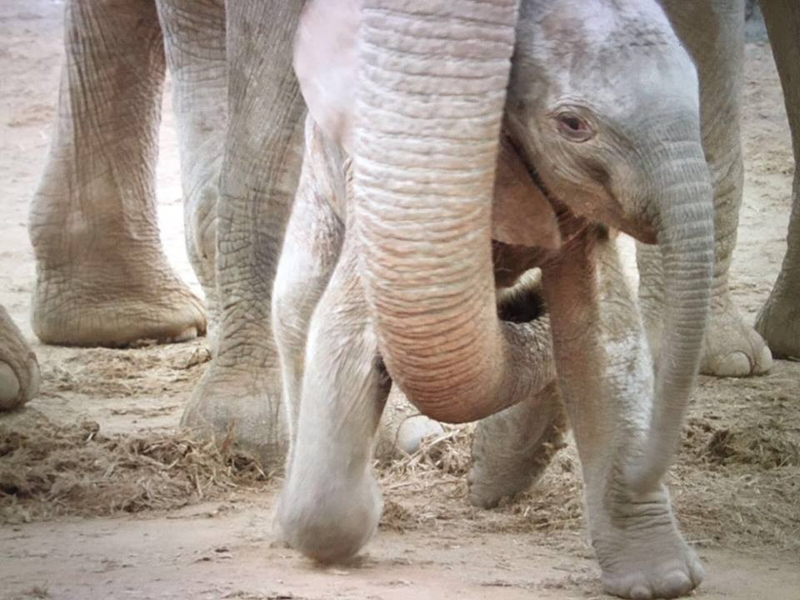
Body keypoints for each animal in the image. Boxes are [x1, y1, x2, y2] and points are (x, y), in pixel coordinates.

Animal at [278, 1, 716, 600]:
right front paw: (367, 512)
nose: (644, 469)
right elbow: (345, 325)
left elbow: (602, 335)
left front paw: (661, 580)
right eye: (573, 125)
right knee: (296, 309)